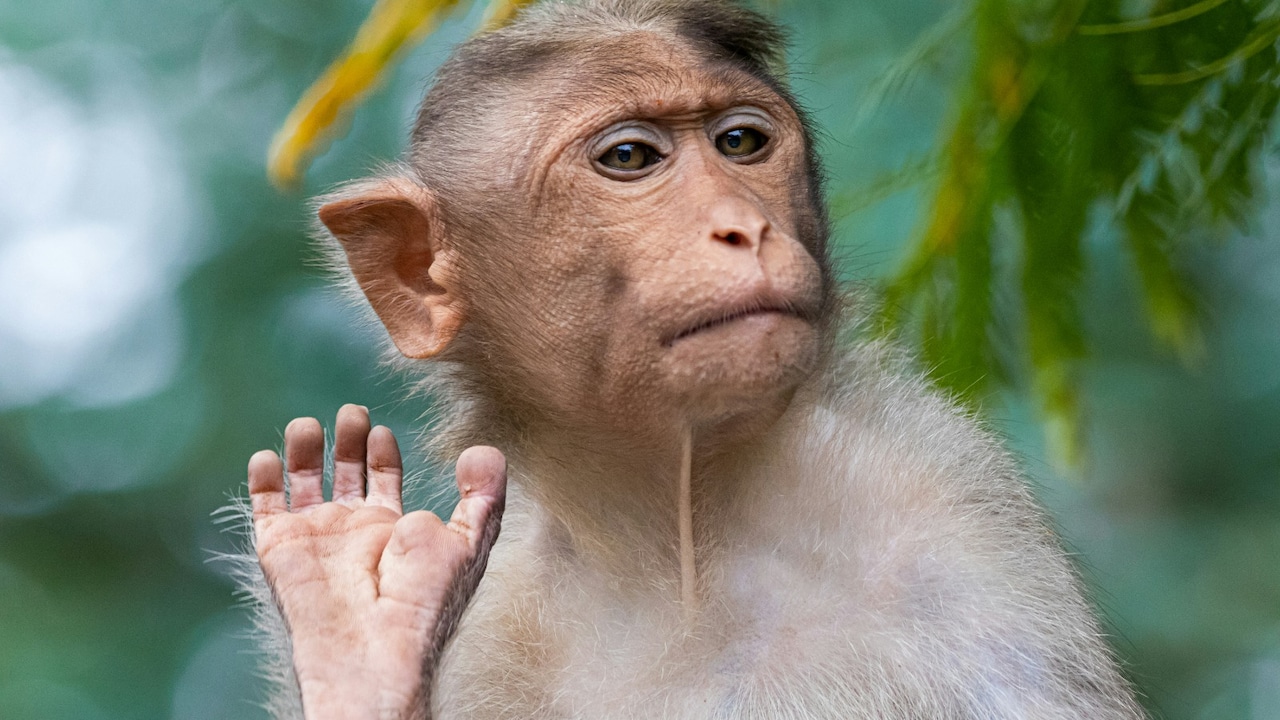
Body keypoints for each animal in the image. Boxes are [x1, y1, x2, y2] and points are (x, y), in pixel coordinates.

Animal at [236, 0, 1147, 717]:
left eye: (741, 142)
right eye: (630, 158)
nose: (745, 226)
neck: (675, 540)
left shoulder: (948, 514)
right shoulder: (494, 628)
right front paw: (356, 626)